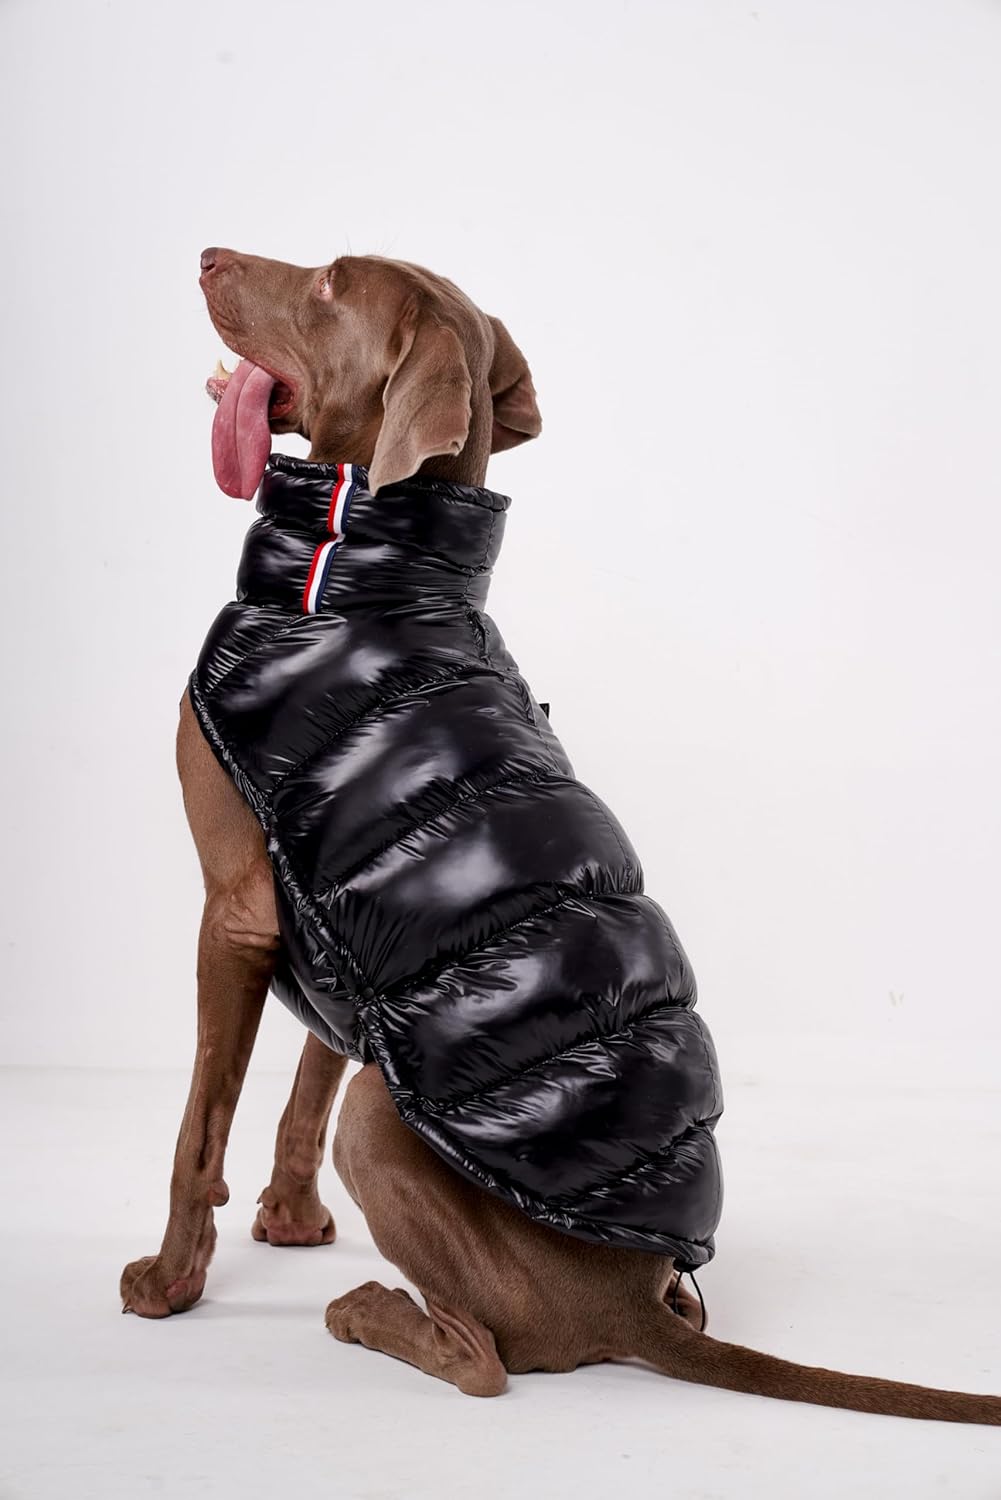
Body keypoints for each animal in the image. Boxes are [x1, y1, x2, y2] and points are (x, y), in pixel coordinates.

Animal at [121, 248, 999, 1423]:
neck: (365, 580)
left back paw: (370, 1311)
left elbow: (200, 1123)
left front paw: (170, 1284)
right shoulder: (342, 936)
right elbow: (299, 1092)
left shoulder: (239, 910)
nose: (210, 254)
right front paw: (290, 1224)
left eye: (329, 286)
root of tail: (630, 1305)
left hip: (384, 1127)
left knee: (489, 1359)